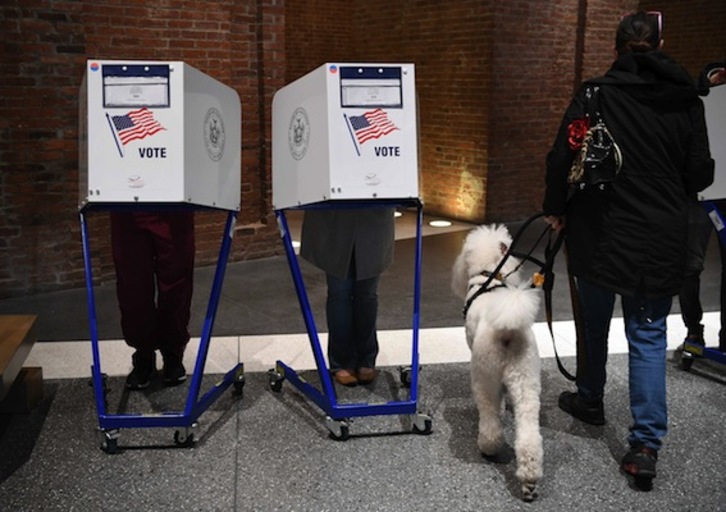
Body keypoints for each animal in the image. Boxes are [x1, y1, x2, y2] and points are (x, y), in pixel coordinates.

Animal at [452, 223, 544, 500]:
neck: (488, 276)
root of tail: (507, 331)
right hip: (527, 377)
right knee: (529, 434)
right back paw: (529, 481)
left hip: (484, 375)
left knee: (490, 419)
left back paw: (488, 448)